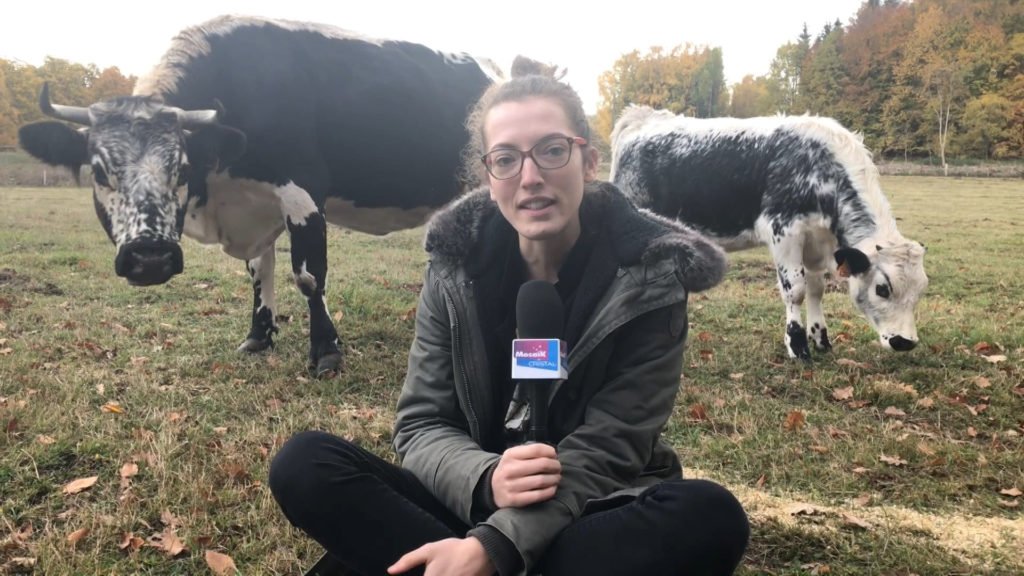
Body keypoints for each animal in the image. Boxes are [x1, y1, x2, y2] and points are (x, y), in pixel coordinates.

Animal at [18, 16, 536, 373]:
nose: (150, 258)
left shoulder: (303, 191)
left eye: (181, 167)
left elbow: (307, 277)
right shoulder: (251, 206)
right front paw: (258, 337)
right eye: (100, 172)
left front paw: (326, 351)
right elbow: (257, 273)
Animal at [606, 105, 929, 356]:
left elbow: (816, 288)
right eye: (882, 288)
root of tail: (642, 116)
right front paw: (797, 345)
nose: (905, 342)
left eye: (921, 290)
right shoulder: (783, 230)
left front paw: (820, 338)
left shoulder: (816, 242)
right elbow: (795, 290)